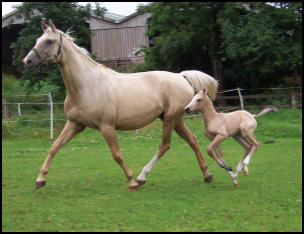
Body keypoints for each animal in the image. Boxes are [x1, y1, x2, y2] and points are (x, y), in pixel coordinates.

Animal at [23, 19, 218, 190]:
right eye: (37, 40)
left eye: (49, 41)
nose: (27, 61)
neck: (86, 86)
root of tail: (180, 76)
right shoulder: (74, 124)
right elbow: (54, 147)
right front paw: (40, 180)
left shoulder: (107, 127)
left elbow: (116, 155)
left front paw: (131, 181)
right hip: (175, 119)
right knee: (192, 140)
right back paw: (207, 175)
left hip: (171, 119)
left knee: (165, 145)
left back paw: (141, 177)